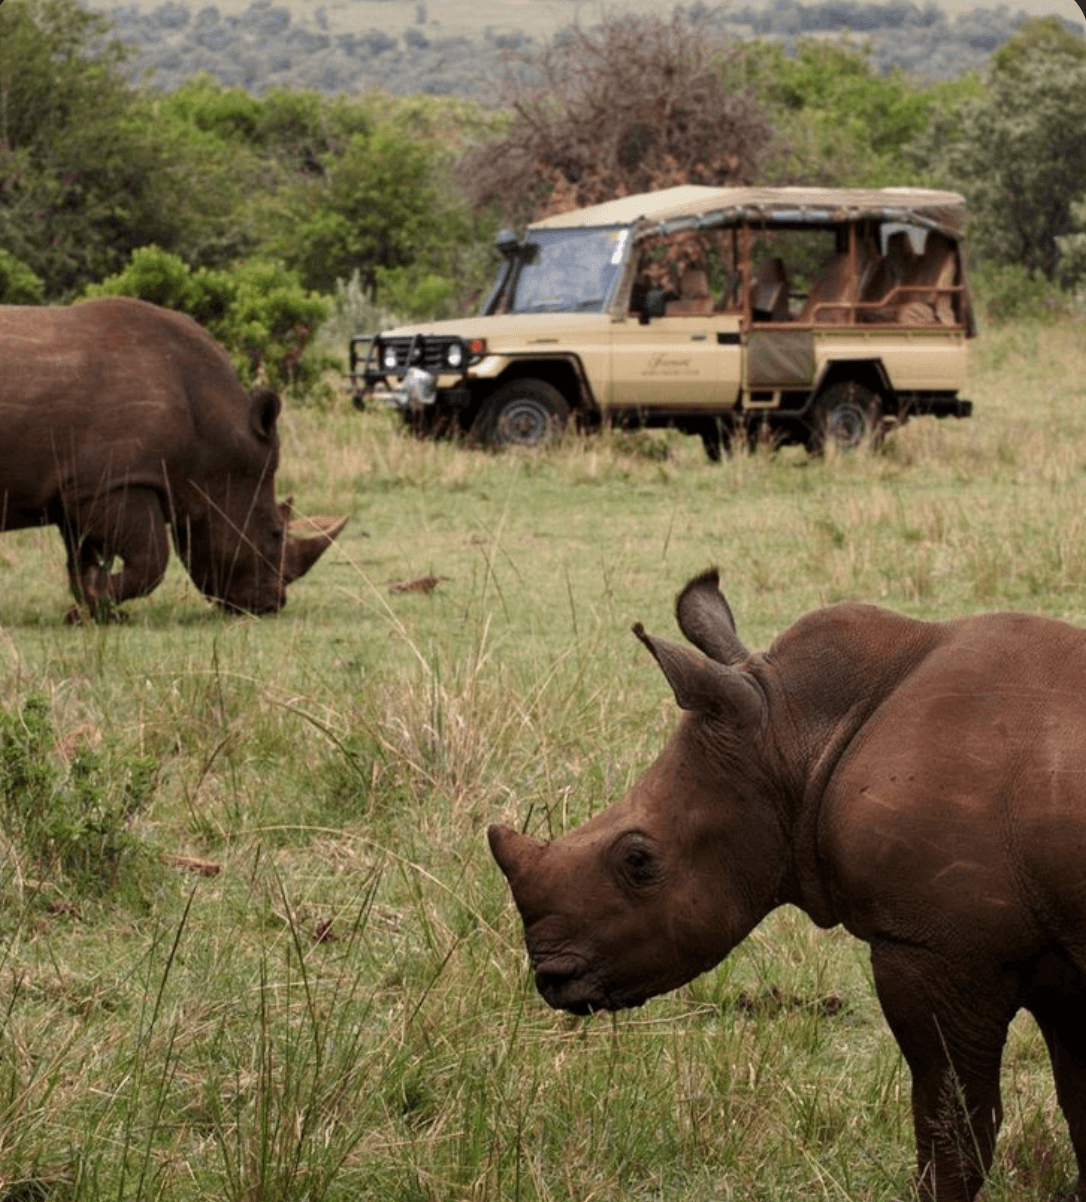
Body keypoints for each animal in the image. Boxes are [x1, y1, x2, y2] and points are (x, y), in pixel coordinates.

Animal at [0, 298, 346, 619]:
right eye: (274, 533)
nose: (271, 605)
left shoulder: (82, 490)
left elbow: (80, 558)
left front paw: (94, 607)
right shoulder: (119, 482)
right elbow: (152, 561)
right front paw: (94, 602)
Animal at [489, 570, 1086, 1202]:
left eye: (638, 861)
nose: (551, 976)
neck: (795, 730)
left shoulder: (934, 945)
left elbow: (953, 1129)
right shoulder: (1052, 959)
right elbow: (1078, 1108)